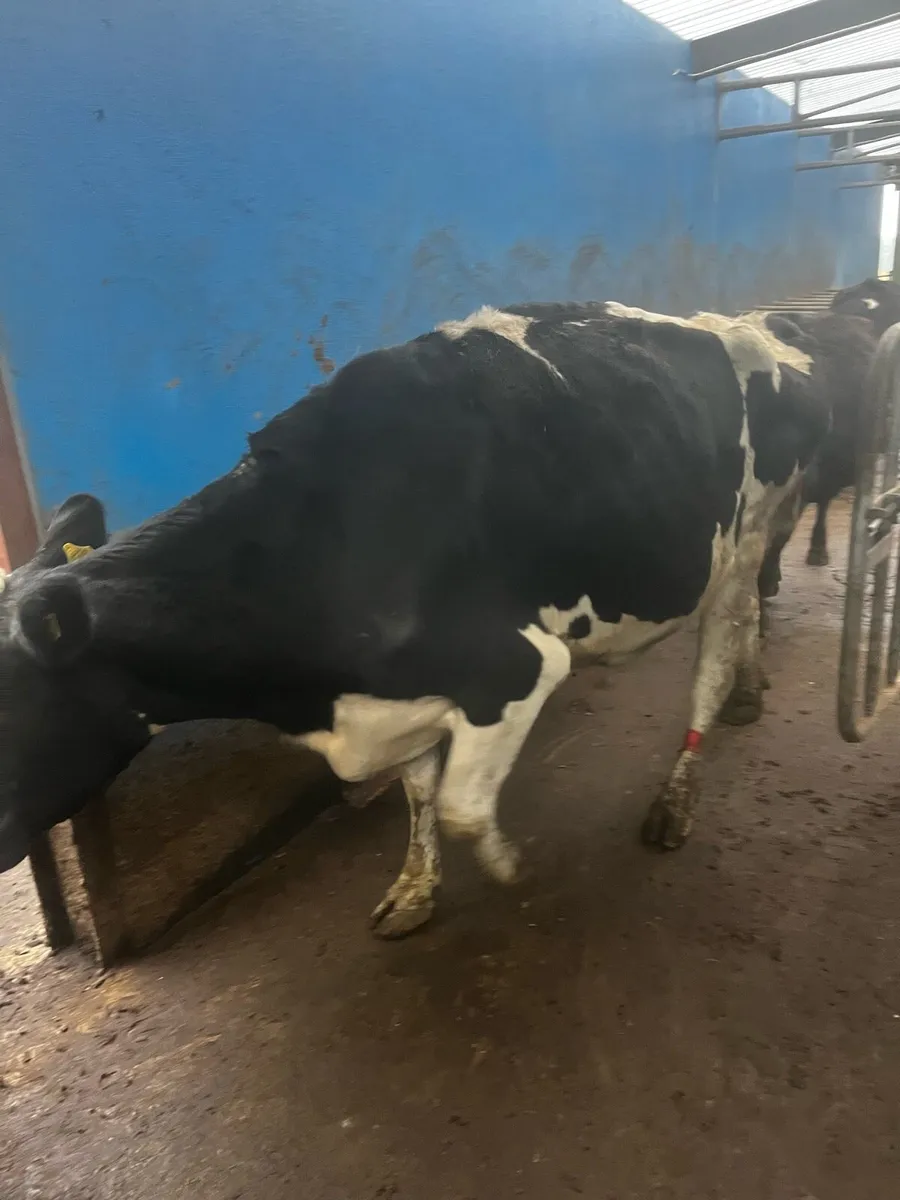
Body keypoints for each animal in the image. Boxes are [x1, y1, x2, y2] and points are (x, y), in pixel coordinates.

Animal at [0, 301, 836, 938]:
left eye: (13, 707)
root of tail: (747, 329)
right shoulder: (396, 700)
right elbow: (421, 793)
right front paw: (415, 890)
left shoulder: (517, 668)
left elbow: (464, 805)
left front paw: (505, 864)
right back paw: (749, 691)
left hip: (741, 545)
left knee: (716, 657)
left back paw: (679, 793)